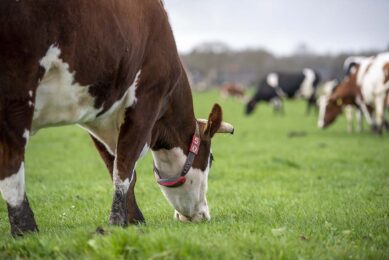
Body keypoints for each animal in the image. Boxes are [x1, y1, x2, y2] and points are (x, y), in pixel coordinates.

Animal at [0, 0, 233, 236]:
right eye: (211, 159)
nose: (202, 214)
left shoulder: (99, 115)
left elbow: (117, 166)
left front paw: (133, 219)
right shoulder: (147, 100)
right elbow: (124, 167)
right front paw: (118, 222)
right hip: (17, 93)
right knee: (12, 168)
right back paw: (25, 230)